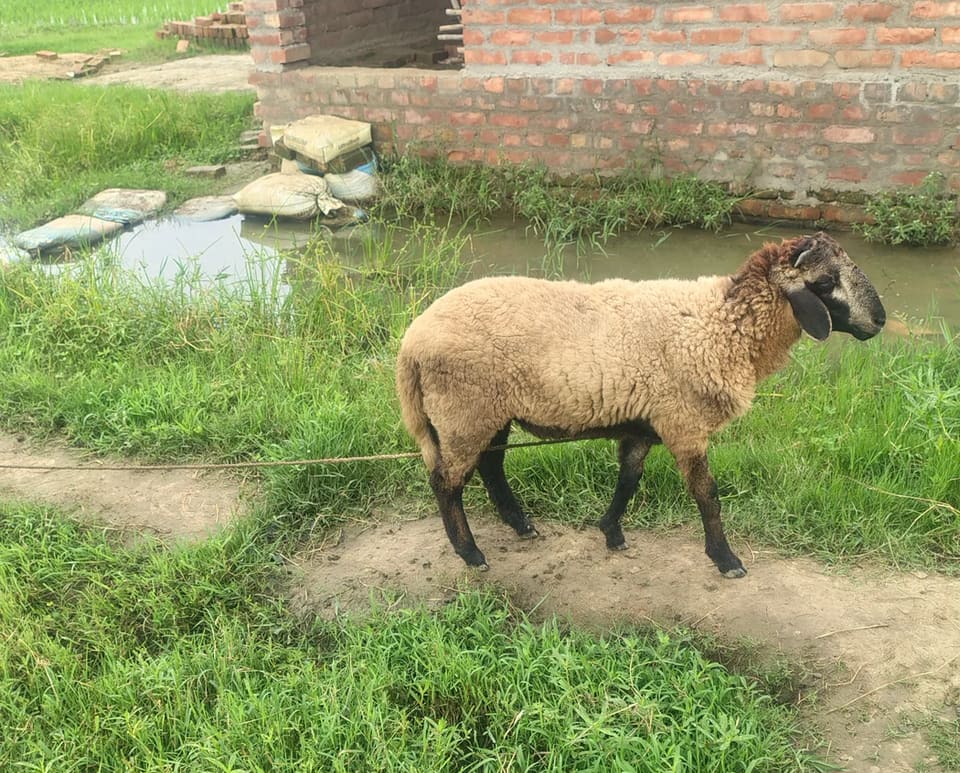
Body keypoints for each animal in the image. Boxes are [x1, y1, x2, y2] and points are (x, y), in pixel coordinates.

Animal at [396, 232, 886, 578]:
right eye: (826, 282)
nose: (880, 321)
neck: (724, 325)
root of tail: (412, 342)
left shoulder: (645, 423)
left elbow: (628, 480)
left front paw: (611, 532)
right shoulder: (684, 424)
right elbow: (707, 495)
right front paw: (726, 560)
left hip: (488, 410)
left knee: (490, 465)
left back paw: (520, 524)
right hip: (464, 409)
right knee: (446, 482)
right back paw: (471, 552)